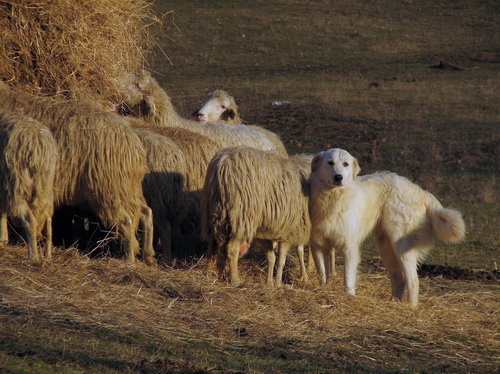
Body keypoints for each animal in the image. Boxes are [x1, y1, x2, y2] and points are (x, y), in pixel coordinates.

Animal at [0, 112, 58, 260]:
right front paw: (2, 240)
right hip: (44, 185)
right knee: (48, 221)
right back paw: (47, 255)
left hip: (17, 183)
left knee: (29, 219)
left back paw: (33, 256)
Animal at [201, 147, 310, 286]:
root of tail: (222, 163)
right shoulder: (292, 228)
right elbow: (295, 252)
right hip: (241, 215)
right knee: (232, 248)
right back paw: (235, 280)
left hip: (214, 212)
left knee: (212, 244)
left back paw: (209, 272)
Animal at [308, 149, 464, 306]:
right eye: (330, 163)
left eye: (346, 164)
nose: (338, 177)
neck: (332, 198)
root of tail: (420, 190)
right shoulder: (318, 246)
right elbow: (323, 274)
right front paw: (324, 289)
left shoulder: (349, 247)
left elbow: (348, 278)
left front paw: (349, 297)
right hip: (386, 247)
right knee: (399, 280)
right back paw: (394, 302)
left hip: (401, 245)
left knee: (413, 280)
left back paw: (411, 307)